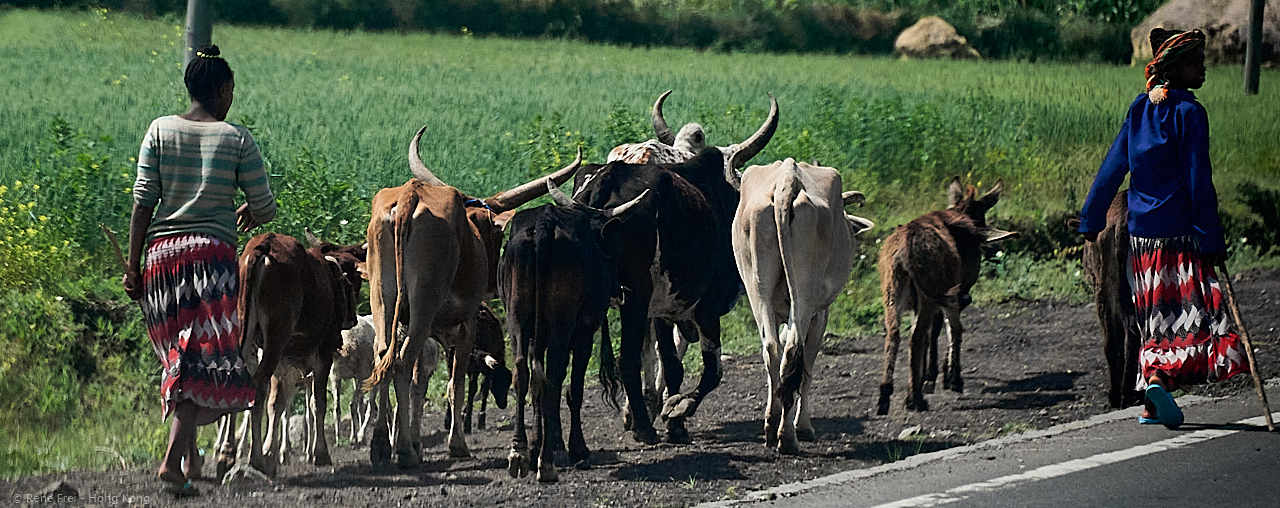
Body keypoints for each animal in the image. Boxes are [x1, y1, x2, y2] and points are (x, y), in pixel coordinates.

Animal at [360, 126, 581, 468]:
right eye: (497, 233)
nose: (492, 283)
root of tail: (411, 194)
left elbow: (418, 385)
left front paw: (413, 441)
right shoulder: (464, 326)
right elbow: (456, 384)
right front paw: (455, 444)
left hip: (384, 303)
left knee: (383, 356)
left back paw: (382, 446)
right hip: (423, 311)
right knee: (401, 362)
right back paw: (405, 451)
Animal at [494, 180, 645, 481]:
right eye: (615, 246)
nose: (618, 290)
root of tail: (544, 225)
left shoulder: (535, 337)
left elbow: (537, 389)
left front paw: (537, 443)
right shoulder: (584, 331)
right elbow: (573, 387)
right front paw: (574, 447)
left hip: (517, 320)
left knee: (524, 374)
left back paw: (519, 453)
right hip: (562, 324)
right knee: (552, 379)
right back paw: (547, 464)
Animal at [732, 157, 870, 450]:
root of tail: (788, 177)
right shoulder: (821, 314)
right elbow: (807, 367)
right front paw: (804, 426)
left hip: (756, 288)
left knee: (772, 349)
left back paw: (772, 426)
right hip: (805, 295)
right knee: (794, 352)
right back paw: (788, 437)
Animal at [875, 176, 1013, 414]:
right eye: (982, 216)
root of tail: (905, 252)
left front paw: (926, 378)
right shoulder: (955, 293)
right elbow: (951, 330)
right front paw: (948, 378)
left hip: (893, 292)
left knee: (893, 335)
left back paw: (885, 397)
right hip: (929, 296)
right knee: (917, 338)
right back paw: (916, 399)